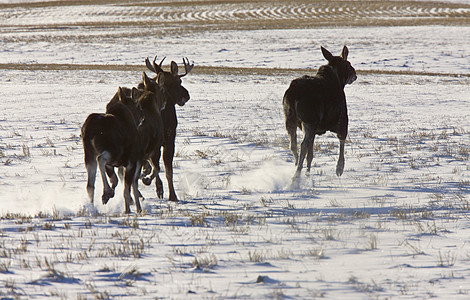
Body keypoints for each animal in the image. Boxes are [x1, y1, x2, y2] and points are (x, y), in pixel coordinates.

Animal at [282, 45, 356, 179]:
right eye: (348, 64)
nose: (355, 74)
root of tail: (293, 93)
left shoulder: (315, 130)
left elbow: (310, 155)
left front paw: (308, 172)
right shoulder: (342, 119)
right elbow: (342, 142)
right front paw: (339, 168)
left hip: (290, 118)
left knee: (293, 144)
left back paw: (296, 165)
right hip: (309, 120)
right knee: (303, 145)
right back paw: (297, 174)